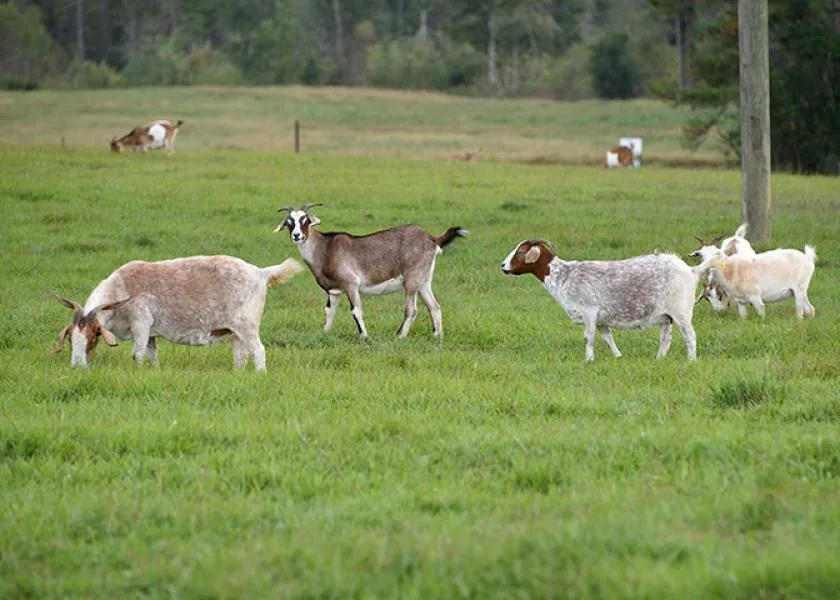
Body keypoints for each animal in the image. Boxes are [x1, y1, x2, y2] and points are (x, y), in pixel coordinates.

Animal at [53, 255, 302, 370]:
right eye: (71, 340)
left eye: (92, 339)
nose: (77, 366)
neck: (120, 290)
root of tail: (260, 273)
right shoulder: (151, 332)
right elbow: (151, 354)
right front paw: (154, 371)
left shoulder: (141, 323)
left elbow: (138, 353)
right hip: (234, 331)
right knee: (241, 354)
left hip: (247, 324)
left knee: (258, 351)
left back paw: (260, 374)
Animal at [275, 204, 467, 339]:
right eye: (289, 223)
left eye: (305, 220)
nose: (297, 236)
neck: (325, 248)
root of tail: (431, 238)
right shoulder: (334, 291)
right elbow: (329, 312)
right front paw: (325, 333)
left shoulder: (351, 284)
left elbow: (356, 310)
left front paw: (365, 337)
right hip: (424, 282)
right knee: (434, 306)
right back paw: (437, 336)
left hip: (411, 281)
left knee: (412, 310)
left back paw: (400, 337)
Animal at [501, 240, 715, 362]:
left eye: (520, 252)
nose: (503, 265)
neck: (563, 276)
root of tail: (691, 270)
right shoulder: (601, 319)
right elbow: (607, 338)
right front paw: (618, 357)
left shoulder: (589, 311)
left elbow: (588, 338)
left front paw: (588, 360)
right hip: (665, 316)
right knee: (666, 339)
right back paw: (659, 360)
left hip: (681, 311)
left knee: (690, 336)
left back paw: (692, 361)